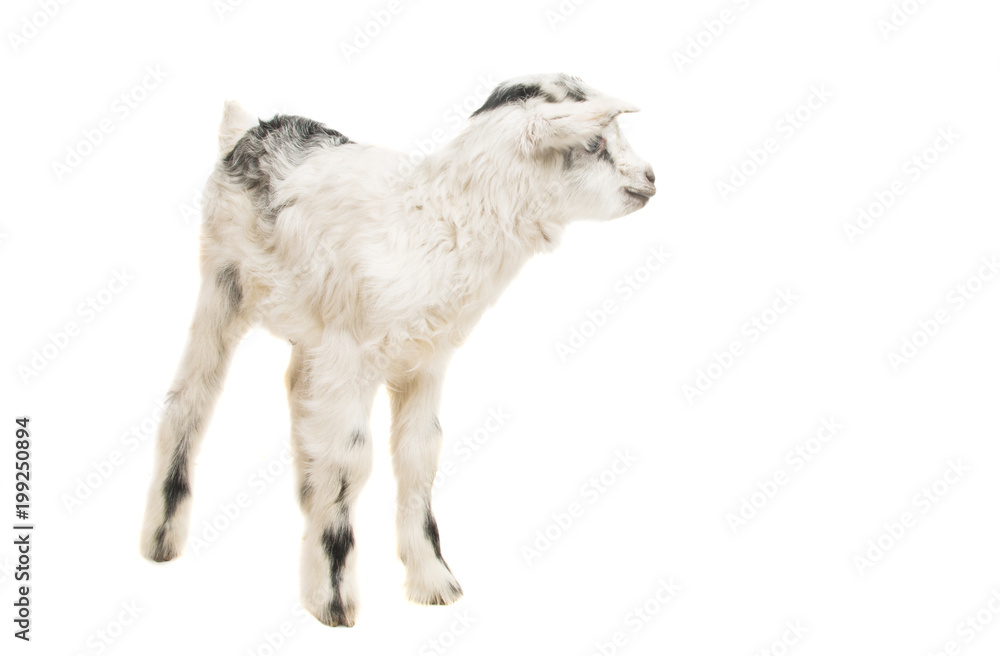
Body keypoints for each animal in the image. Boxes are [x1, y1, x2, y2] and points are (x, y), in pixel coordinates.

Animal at [139, 73, 656, 627]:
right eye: (595, 143)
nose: (651, 178)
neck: (439, 221)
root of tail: (249, 130)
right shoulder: (352, 356)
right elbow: (349, 460)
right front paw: (334, 599)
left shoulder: (423, 363)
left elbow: (418, 455)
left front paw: (433, 580)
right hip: (223, 282)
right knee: (191, 399)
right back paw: (161, 540)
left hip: (311, 330)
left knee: (298, 400)